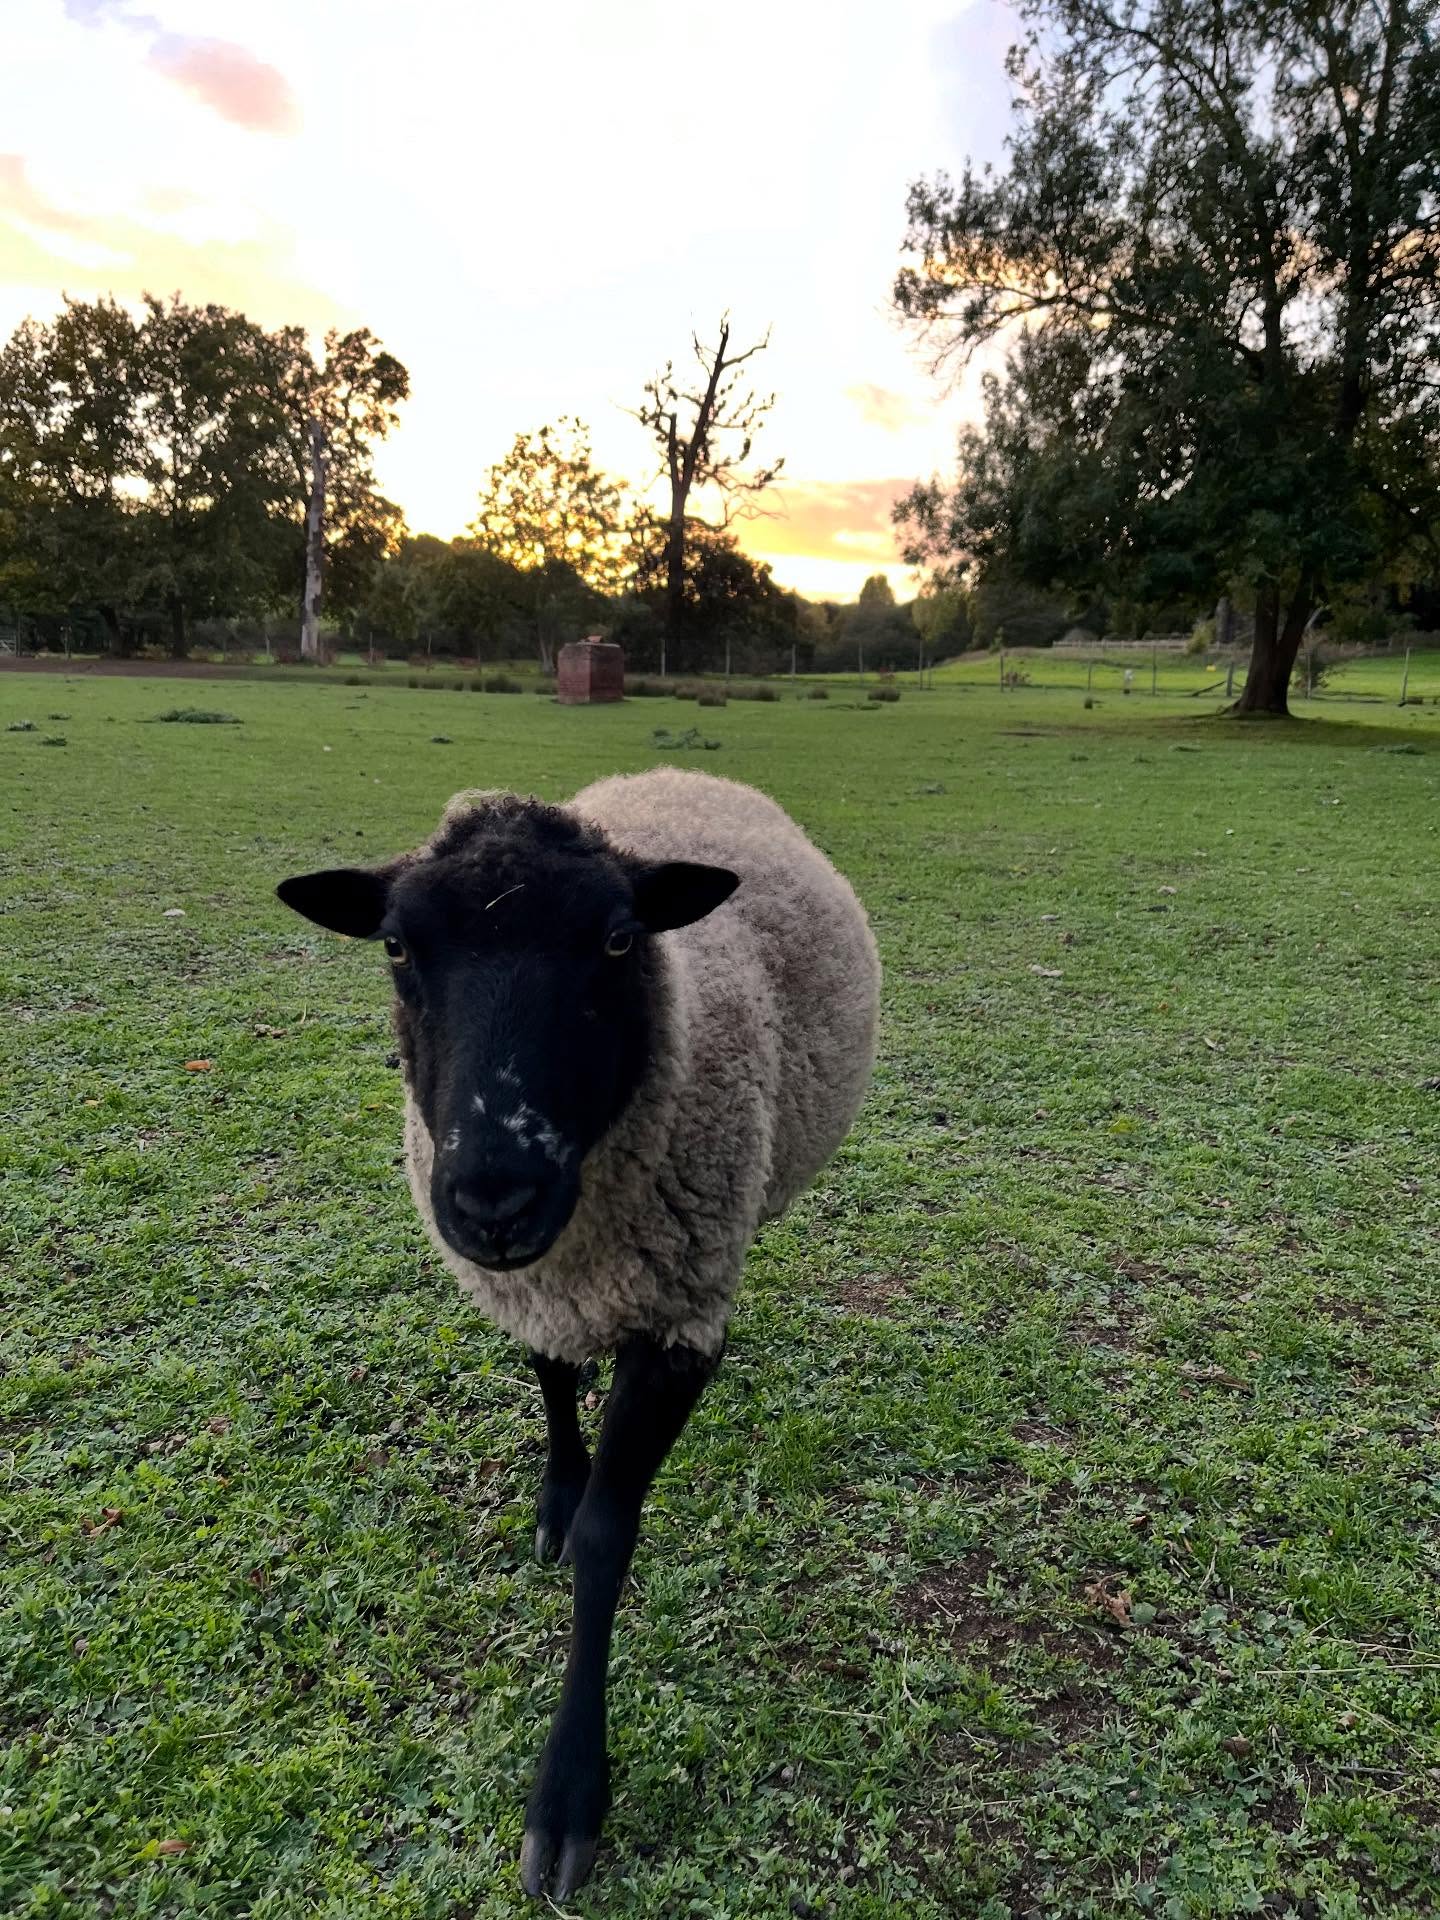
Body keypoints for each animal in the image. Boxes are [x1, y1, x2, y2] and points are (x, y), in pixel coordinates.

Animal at [277, 766, 881, 1900]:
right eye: (395, 945)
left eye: (614, 939)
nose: (493, 1196)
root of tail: (686, 775)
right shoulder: (535, 1290)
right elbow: (550, 1381)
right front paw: (558, 1493)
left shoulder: (676, 1324)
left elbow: (610, 1540)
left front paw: (566, 1800)